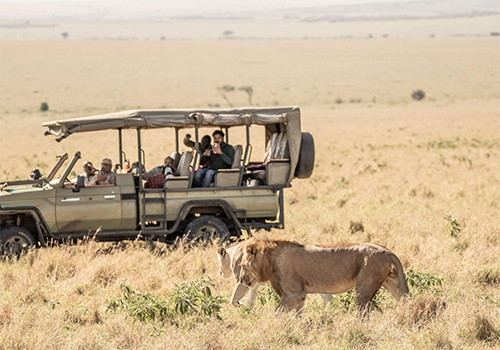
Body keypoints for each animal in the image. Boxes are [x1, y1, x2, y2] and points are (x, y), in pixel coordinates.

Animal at [236, 238, 408, 314]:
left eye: (243, 266)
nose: (242, 280)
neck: (271, 260)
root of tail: (388, 252)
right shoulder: (300, 296)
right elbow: (297, 314)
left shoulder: (294, 294)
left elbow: (278, 312)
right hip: (394, 283)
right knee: (403, 300)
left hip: (364, 287)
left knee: (363, 311)